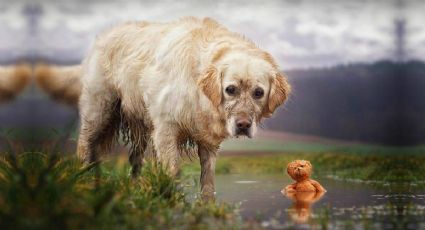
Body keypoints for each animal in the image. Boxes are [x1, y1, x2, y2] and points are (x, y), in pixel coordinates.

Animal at [36, 17, 290, 195]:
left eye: (258, 93)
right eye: (230, 89)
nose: (243, 125)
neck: (197, 85)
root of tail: (103, 35)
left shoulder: (207, 142)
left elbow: (208, 179)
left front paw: (207, 205)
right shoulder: (166, 129)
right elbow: (172, 170)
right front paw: (171, 200)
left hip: (141, 126)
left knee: (135, 159)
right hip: (98, 111)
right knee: (84, 145)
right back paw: (83, 179)